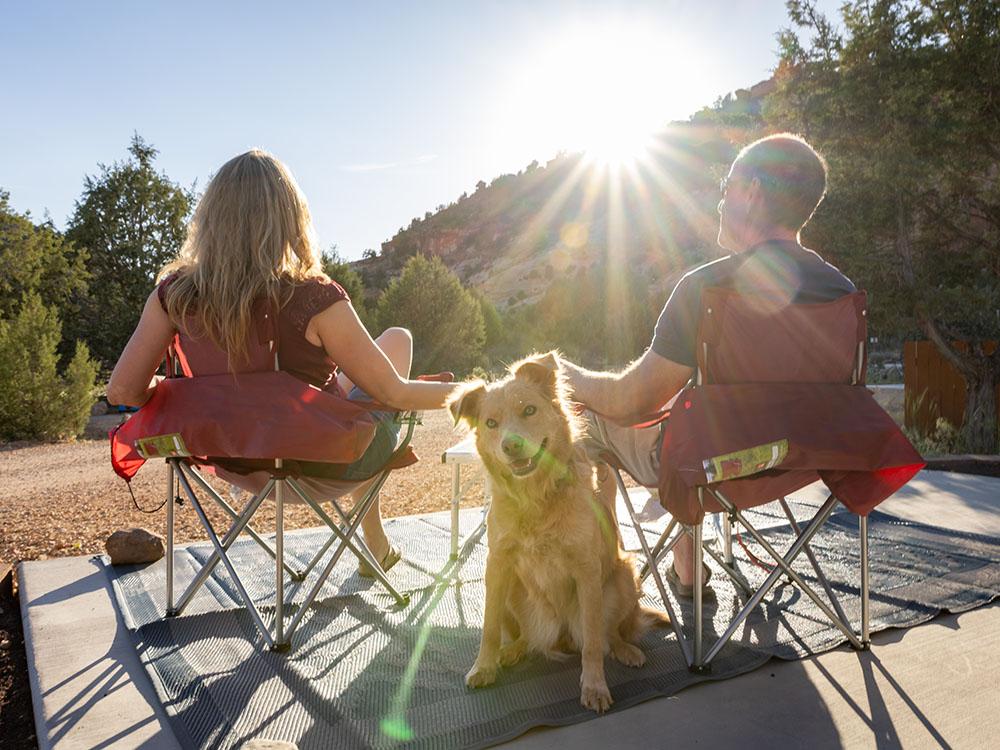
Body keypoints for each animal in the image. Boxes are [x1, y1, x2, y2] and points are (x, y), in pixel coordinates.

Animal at [450, 356, 668, 712]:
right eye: (491, 423)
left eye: (529, 410)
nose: (511, 445)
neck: (535, 499)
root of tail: (561, 633)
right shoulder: (497, 564)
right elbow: (489, 627)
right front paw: (484, 666)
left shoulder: (587, 569)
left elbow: (592, 641)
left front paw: (594, 686)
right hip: (510, 588)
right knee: (526, 635)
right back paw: (514, 650)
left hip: (624, 576)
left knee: (611, 634)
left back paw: (626, 650)